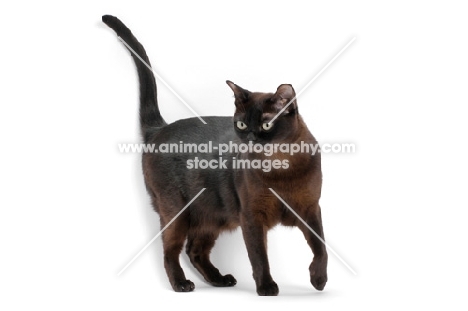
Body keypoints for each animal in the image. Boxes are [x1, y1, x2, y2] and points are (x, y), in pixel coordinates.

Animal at [103, 15, 328, 298]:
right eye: (241, 124)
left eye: (266, 125)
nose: (250, 138)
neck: (281, 168)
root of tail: (160, 128)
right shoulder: (252, 217)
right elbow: (259, 257)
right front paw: (266, 287)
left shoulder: (310, 209)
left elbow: (321, 248)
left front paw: (319, 280)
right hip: (177, 212)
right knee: (170, 251)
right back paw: (181, 284)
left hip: (213, 216)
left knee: (195, 251)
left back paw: (220, 279)